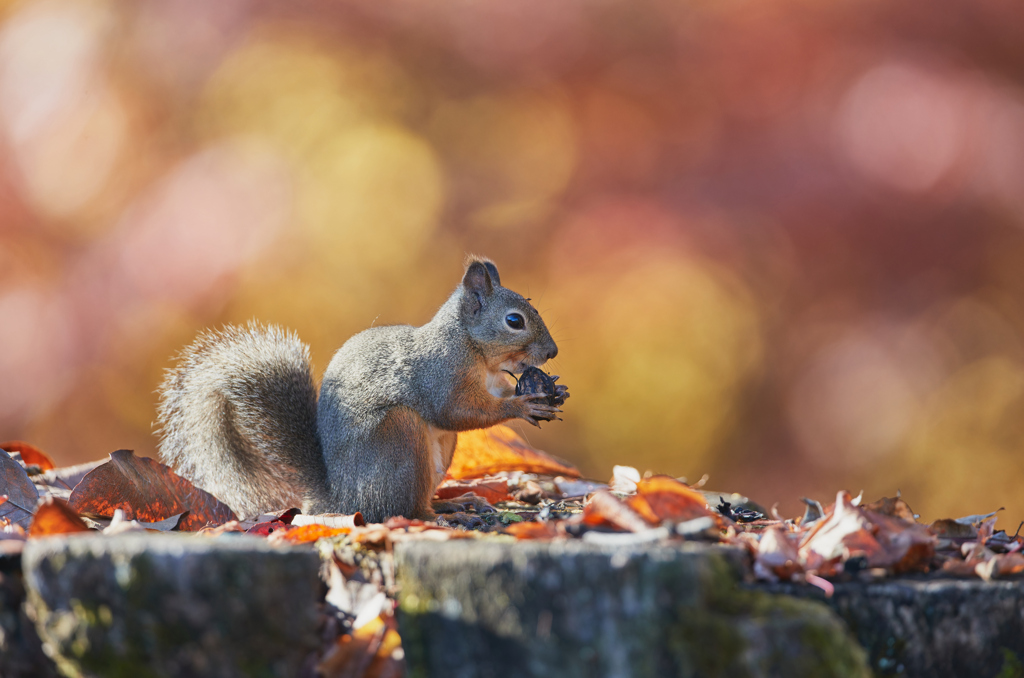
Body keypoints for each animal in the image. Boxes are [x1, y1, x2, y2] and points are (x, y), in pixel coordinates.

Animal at [155, 258, 565, 522]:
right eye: (514, 321)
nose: (552, 352)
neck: (478, 355)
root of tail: (337, 498)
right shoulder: (439, 377)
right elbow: (458, 412)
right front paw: (524, 405)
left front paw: (551, 392)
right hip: (398, 435)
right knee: (400, 511)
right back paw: (445, 513)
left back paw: (455, 503)